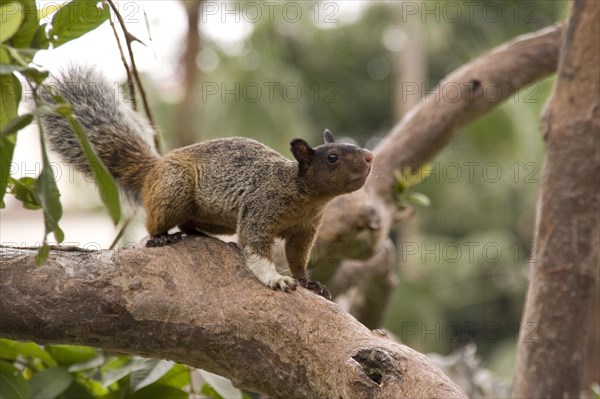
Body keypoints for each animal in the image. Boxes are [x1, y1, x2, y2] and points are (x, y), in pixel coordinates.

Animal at [39, 65, 372, 298]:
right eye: (332, 158)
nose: (369, 156)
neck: (303, 194)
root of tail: (153, 171)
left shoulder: (305, 230)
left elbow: (297, 257)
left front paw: (308, 282)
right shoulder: (260, 210)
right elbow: (256, 249)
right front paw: (276, 279)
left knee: (189, 224)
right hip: (174, 187)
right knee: (155, 225)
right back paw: (161, 237)